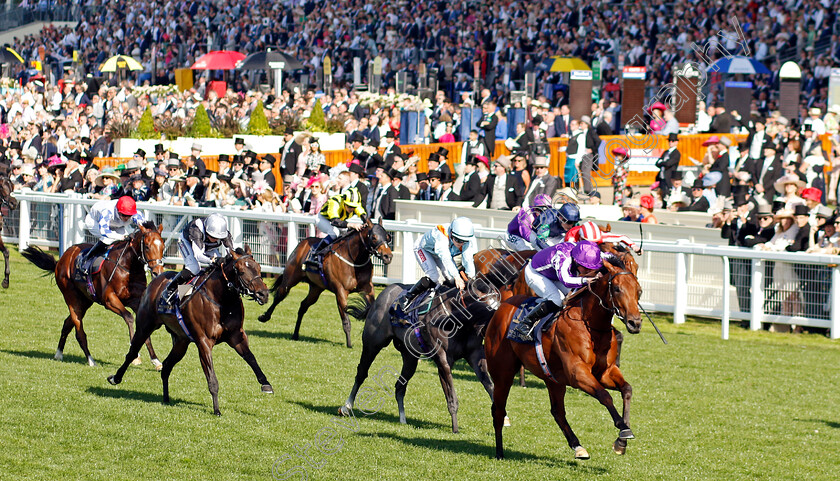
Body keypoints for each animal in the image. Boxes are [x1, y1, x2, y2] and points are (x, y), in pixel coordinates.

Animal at [21, 222, 166, 368]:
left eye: (163, 247)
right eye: (147, 246)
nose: (157, 272)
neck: (128, 267)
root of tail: (60, 261)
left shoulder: (137, 301)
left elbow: (144, 330)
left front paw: (156, 361)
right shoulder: (109, 300)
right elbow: (129, 317)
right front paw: (136, 357)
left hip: (85, 301)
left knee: (67, 324)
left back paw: (59, 354)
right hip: (71, 297)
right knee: (79, 332)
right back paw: (91, 360)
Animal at [106, 246, 272, 414]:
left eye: (259, 268)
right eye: (242, 271)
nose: (263, 294)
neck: (221, 300)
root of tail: (155, 281)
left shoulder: (236, 336)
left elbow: (251, 358)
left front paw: (266, 384)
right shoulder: (203, 342)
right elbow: (212, 377)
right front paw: (216, 410)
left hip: (181, 342)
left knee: (167, 366)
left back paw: (166, 398)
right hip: (145, 327)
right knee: (132, 352)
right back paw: (115, 378)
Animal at [260, 216, 394, 346]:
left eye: (388, 237)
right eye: (374, 237)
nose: (388, 256)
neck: (353, 259)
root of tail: (302, 243)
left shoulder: (367, 288)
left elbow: (371, 309)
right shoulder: (341, 291)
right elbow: (346, 320)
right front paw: (349, 344)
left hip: (316, 288)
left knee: (303, 305)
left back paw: (295, 334)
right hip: (290, 278)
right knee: (279, 296)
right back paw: (264, 317)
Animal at [338, 251, 528, 432]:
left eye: (498, 300)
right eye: (484, 301)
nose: (495, 323)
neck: (456, 319)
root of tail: (383, 295)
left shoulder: (475, 355)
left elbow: (490, 386)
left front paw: (504, 418)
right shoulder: (442, 359)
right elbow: (451, 395)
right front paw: (455, 428)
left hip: (410, 357)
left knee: (400, 386)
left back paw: (402, 419)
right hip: (373, 343)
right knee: (362, 372)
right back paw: (347, 407)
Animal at [486, 255, 644, 462]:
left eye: (639, 290)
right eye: (617, 288)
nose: (635, 323)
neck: (591, 324)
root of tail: (501, 307)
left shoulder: (605, 372)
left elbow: (627, 390)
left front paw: (621, 441)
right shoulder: (577, 373)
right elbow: (605, 396)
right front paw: (622, 428)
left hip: (554, 379)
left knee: (557, 412)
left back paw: (578, 447)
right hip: (503, 374)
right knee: (498, 410)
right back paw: (499, 452)